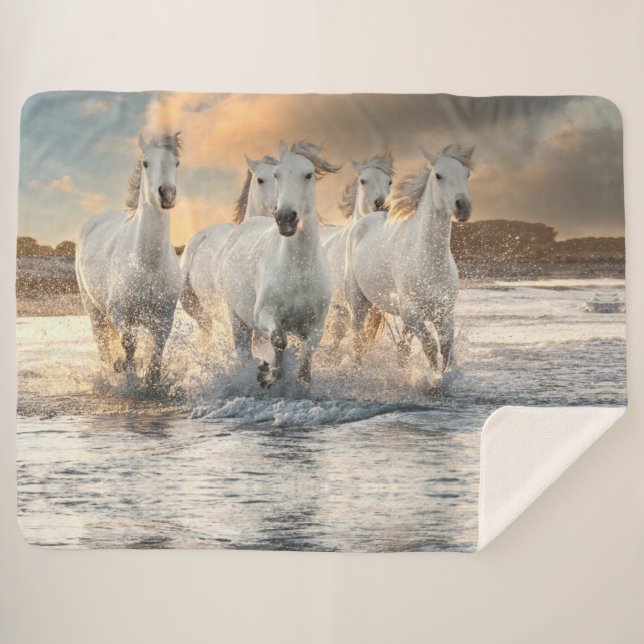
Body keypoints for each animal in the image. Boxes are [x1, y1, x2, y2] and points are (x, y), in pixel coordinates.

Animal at [75, 133, 182, 385]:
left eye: (176, 163)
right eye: (145, 163)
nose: (167, 194)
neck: (148, 263)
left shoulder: (164, 316)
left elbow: (157, 351)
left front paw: (150, 380)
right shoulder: (120, 312)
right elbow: (128, 345)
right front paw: (123, 369)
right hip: (94, 309)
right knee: (103, 344)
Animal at [220, 141, 341, 387]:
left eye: (308, 174)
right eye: (278, 175)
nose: (285, 217)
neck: (298, 269)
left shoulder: (316, 325)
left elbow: (306, 355)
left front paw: (302, 381)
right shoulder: (264, 315)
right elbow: (278, 340)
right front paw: (268, 374)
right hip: (237, 320)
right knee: (244, 351)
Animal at [344, 144, 474, 376]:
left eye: (466, 174)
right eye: (439, 175)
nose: (463, 207)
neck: (428, 259)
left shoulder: (444, 313)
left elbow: (445, 347)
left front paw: (441, 376)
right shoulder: (412, 312)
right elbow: (430, 346)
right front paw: (434, 379)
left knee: (402, 350)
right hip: (358, 304)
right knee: (357, 341)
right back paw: (357, 373)